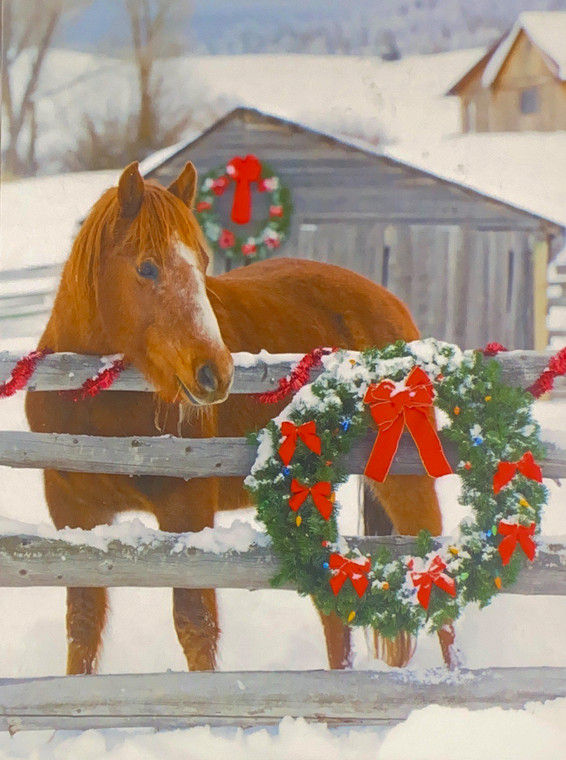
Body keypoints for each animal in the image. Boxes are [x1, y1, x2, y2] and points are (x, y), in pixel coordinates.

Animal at [25, 163, 444, 672]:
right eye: (146, 266)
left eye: (203, 263)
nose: (215, 372)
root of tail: (390, 306)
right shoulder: (75, 519)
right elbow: (83, 629)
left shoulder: (186, 512)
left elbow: (195, 625)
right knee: (333, 611)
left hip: (406, 484)